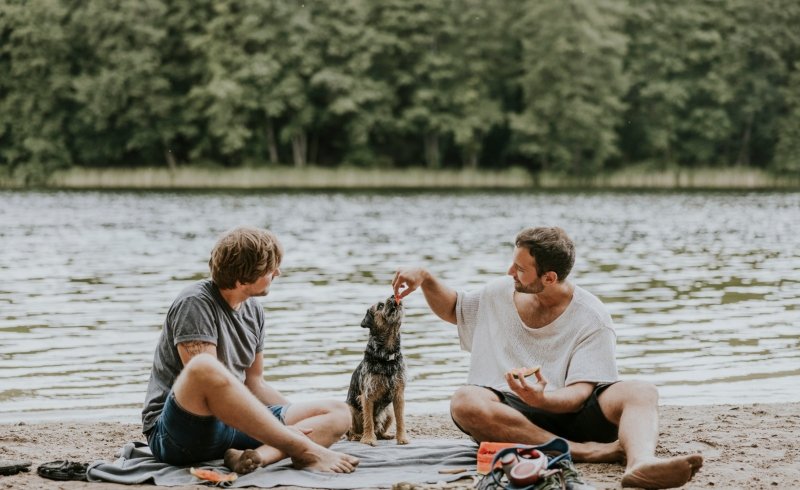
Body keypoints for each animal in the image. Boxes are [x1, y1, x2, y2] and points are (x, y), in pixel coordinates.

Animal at [346, 292, 410, 446]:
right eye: (380, 306)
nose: (393, 295)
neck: (386, 354)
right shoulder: (367, 395)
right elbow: (368, 420)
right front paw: (368, 439)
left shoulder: (399, 394)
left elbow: (401, 420)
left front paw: (402, 438)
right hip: (349, 410)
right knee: (351, 432)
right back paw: (358, 436)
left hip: (389, 412)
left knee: (380, 430)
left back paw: (386, 435)